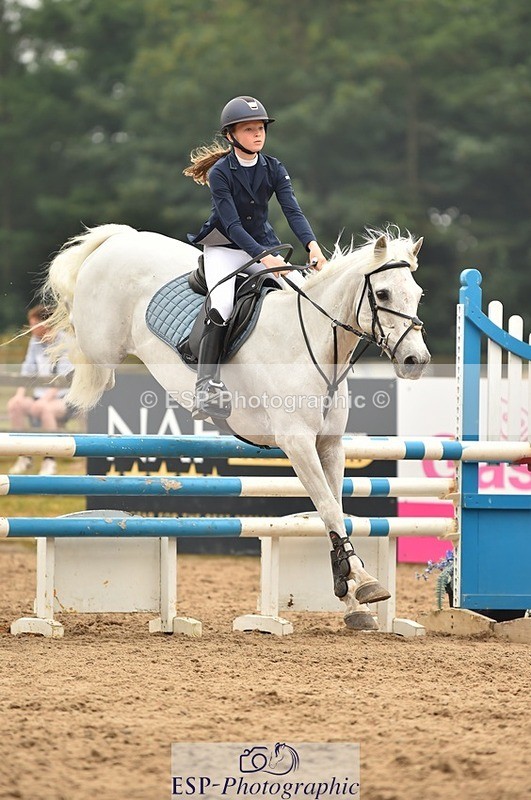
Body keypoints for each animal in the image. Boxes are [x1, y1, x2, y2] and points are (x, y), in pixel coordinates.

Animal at [42, 224, 430, 631]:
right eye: (383, 293)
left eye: (417, 294)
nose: (416, 361)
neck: (313, 345)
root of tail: (122, 237)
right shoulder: (297, 443)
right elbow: (327, 507)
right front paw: (364, 584)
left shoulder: (329, 444)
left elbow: (335, 510)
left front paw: (353, 599)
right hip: (101, 342)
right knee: (80, 343)